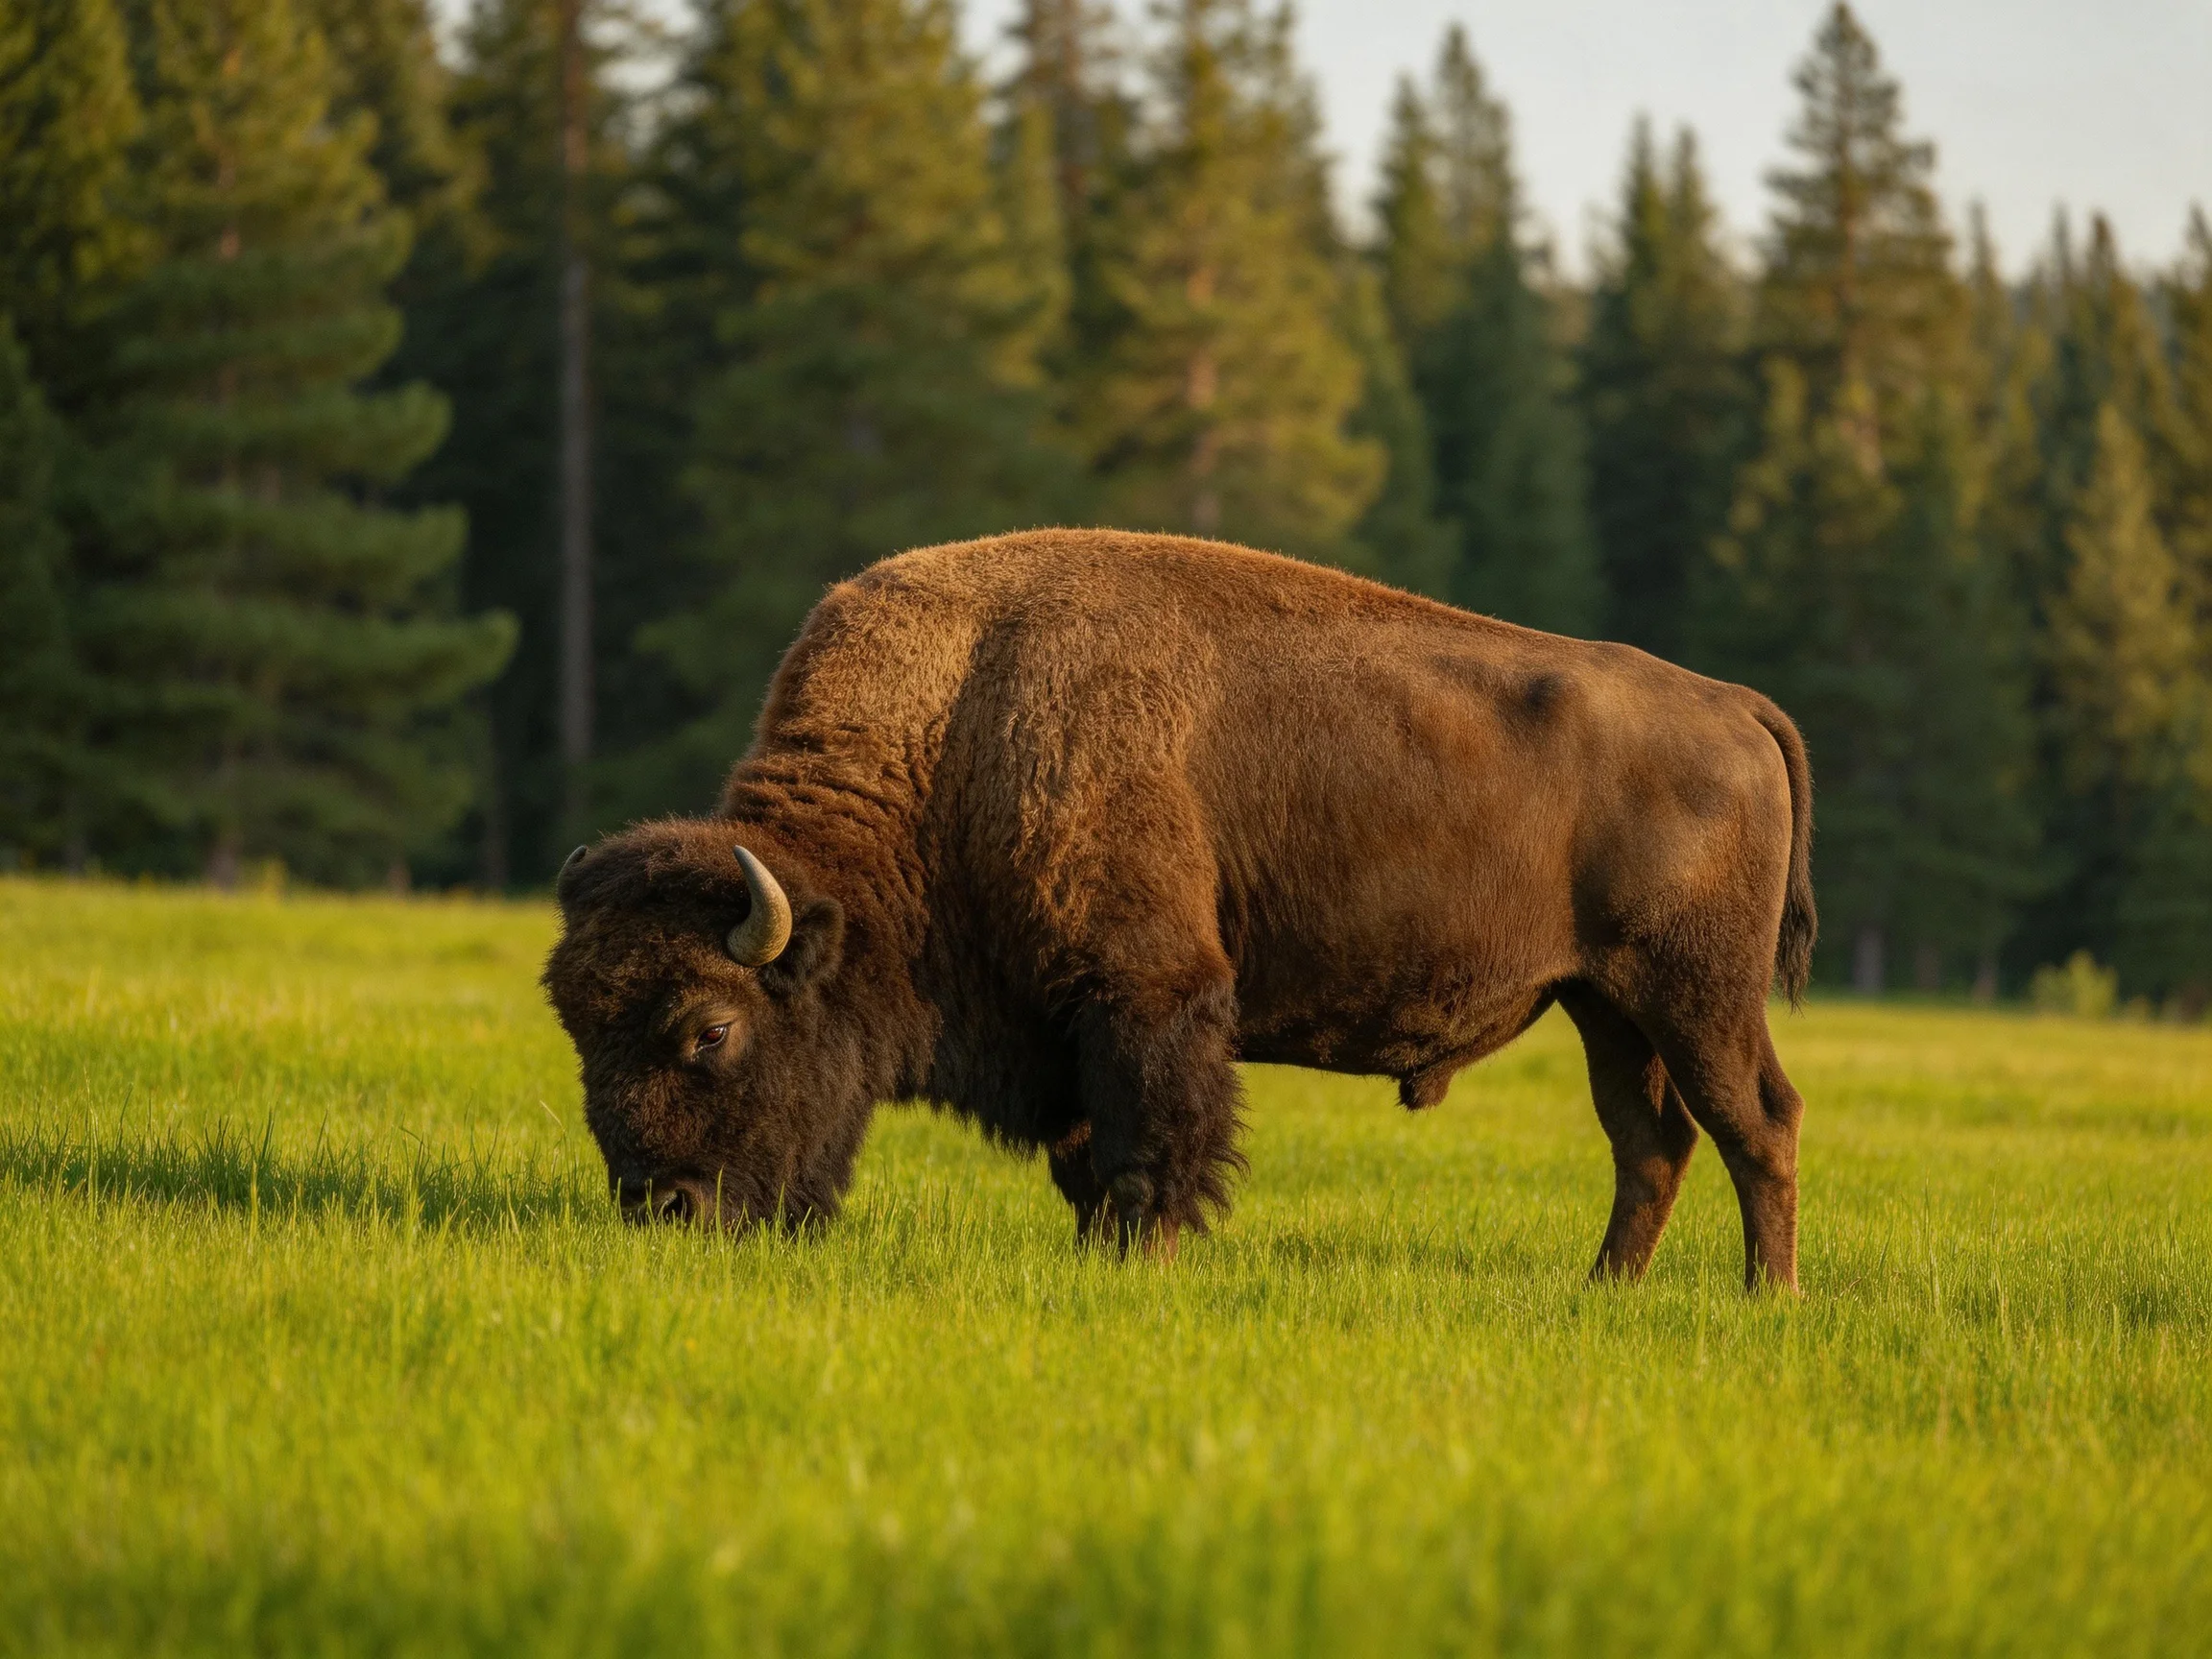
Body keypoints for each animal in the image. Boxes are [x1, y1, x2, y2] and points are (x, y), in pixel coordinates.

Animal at [544, 529, 1814, 1289]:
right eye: (579, 1031)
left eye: (710, 1028)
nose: (661, 1209)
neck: (959, 729)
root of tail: (1733, 705)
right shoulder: (1064, 1024)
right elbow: (1087, 1152)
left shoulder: (1148, 994)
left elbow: (1153, 1139)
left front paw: (1141, 1255)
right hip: (1607, 1007)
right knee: (1652, 1142)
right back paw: (1608, 1288)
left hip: (1696, 995)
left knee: (1757, 1123)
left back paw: (1767, 1298)